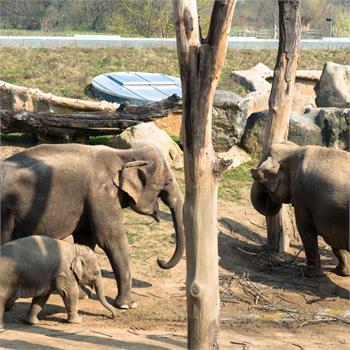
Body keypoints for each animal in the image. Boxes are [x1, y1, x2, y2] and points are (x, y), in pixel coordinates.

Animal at [0, 144, 186, 308]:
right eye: (168, 181)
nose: (160, 260)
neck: (124, 154)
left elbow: (86, 238)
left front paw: (83, 295)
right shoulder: (101, 193)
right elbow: (111, 238)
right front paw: (129, 305)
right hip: (5, 211)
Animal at [250, 141, 348, 278]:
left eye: (259, 178)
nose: (269, 197)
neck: (296, 149)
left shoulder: (301, 195)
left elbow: (304, 228)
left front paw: (310, 274)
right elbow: (333, 236)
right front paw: (341, 272)